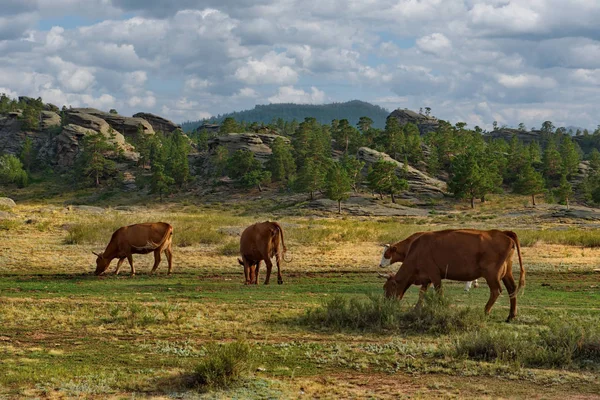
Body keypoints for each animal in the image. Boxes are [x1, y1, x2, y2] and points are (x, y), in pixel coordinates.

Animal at [380, 228, 524, 322]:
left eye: (387, 288)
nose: (386, 304)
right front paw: (416, 309)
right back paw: (511, 316)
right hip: (507, 273)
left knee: (496, 291)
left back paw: (486, 312)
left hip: (492, 275)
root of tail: (503, 233)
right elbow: (422, 294)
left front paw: (441, 308)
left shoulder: (435, 275)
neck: (417, 250)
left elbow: (439, 293)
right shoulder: (426, 278)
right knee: (512, 289)